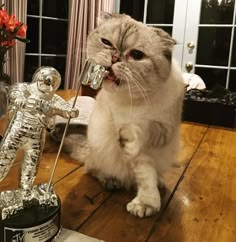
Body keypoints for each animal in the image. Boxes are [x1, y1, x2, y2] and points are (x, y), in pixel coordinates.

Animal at [64, 13, 184, 217]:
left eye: (136, 55)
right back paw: (111, 180)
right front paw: (147, 204)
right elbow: (144, 172)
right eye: (106, 42)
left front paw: (146, 204)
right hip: (98, 145)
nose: (114, 58)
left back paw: (159, 183)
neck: (138, 102)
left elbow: (144, 134)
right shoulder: (129, 134)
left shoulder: (163, 131)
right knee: (92, 169)